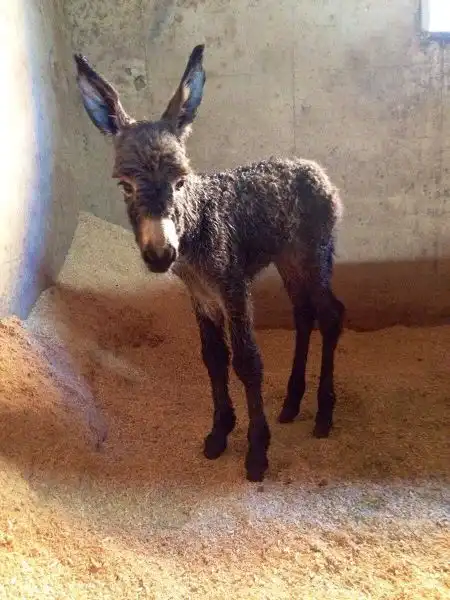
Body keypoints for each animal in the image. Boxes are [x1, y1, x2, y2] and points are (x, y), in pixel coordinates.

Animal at [73, 44, 345, 482]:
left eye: (181, 181)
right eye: (125, 185)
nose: (160, 253)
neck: (197, 224)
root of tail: (314, 167)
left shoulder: (232, 287)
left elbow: (247, 361)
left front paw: (257, 453)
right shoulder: (201, 296)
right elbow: (214, 358)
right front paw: (219, 432)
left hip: (315, 251)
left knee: (331, 314)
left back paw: (322, 413)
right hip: (288, 258)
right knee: (304, 313)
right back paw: (291, 403)